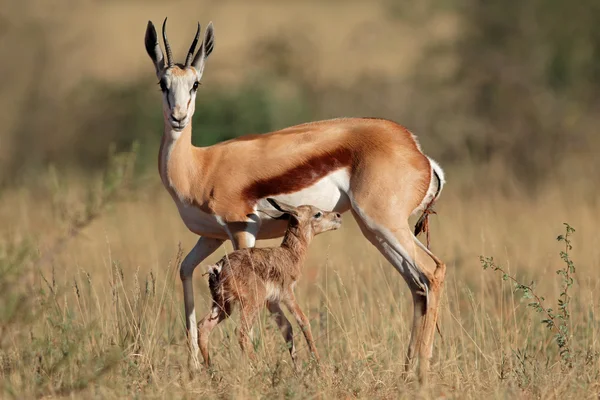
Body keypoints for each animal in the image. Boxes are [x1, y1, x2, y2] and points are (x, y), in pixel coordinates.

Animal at [144, 18, 446, 382]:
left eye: (196, 83)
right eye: (163, 83)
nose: (178, 117)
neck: (200, 166)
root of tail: (415, 149)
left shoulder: (240, 229)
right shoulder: (210, 237)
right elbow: (186, 271)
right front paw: (194, 367)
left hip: (384, 224)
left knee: (433, 270)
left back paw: (423, 372)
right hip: (375, 231)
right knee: (416, 284)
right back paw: (405, 371)